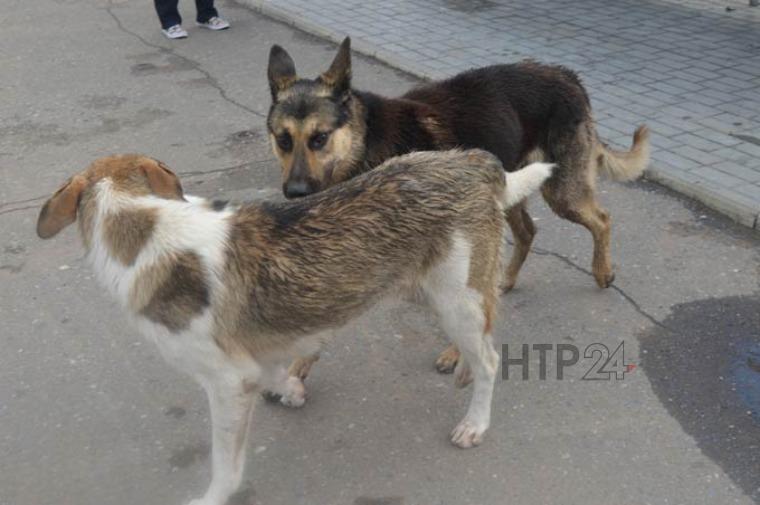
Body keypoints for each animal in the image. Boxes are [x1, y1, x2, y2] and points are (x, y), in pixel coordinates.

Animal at [35, 151, 552, 504]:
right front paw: (292, 390)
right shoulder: (251, 363)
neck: (137, 227)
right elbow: (277, 372)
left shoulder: (227, 382)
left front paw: (212, 498)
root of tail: (473, 161)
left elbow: (225, 465)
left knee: (490, 360)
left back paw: (475, 421)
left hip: (455, 301)